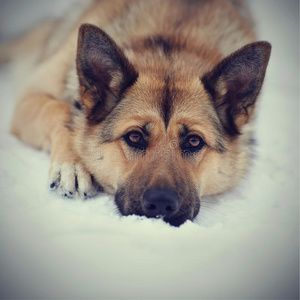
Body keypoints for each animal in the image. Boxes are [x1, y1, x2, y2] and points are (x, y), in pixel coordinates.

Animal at [4, 0, 272, 225]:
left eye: (194, 141)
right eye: (134, 137)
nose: (162, 203)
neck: (172, 46)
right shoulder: (30, 96)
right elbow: (60, 111)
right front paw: (72, 165)